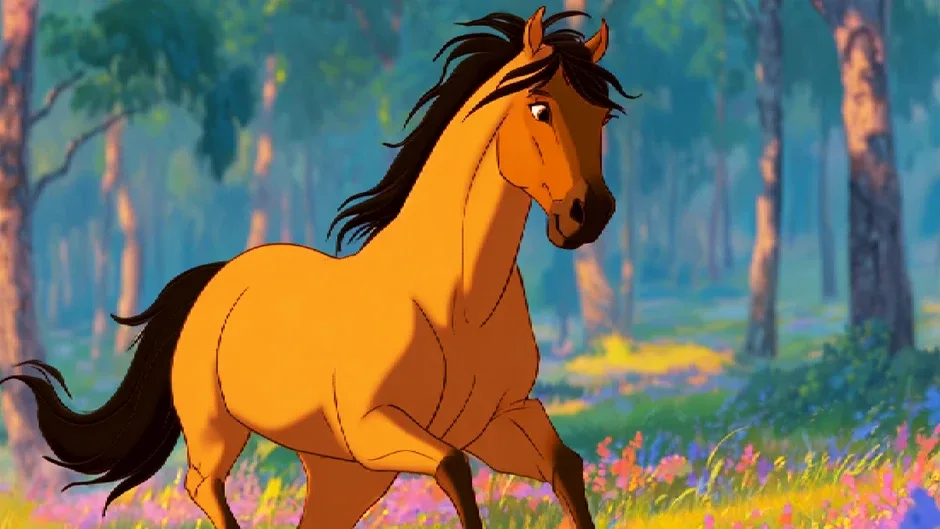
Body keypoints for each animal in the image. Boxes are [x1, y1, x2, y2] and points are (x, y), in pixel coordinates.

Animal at [1, 7, 636, 529]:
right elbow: (456, 473)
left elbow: (565, 465)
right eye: (540, 107)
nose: (589, 215)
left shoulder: (498, 420)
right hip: (222, 434)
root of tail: (218, 279)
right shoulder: (378, 429)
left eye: (604, 116)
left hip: (345, 475)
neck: (456, 300)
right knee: (202, 484)